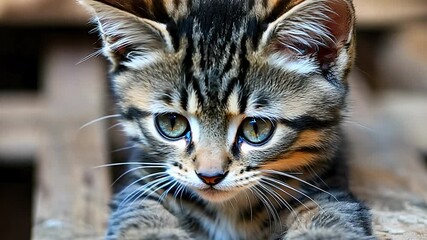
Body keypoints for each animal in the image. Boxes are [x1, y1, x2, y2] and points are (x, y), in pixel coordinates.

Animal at [80, 0, 374, 239]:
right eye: (172, 124)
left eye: (256, 128)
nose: (210, 176)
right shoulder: (140, 184)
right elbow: (142, 216)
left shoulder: (329, 186)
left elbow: (330, 219)